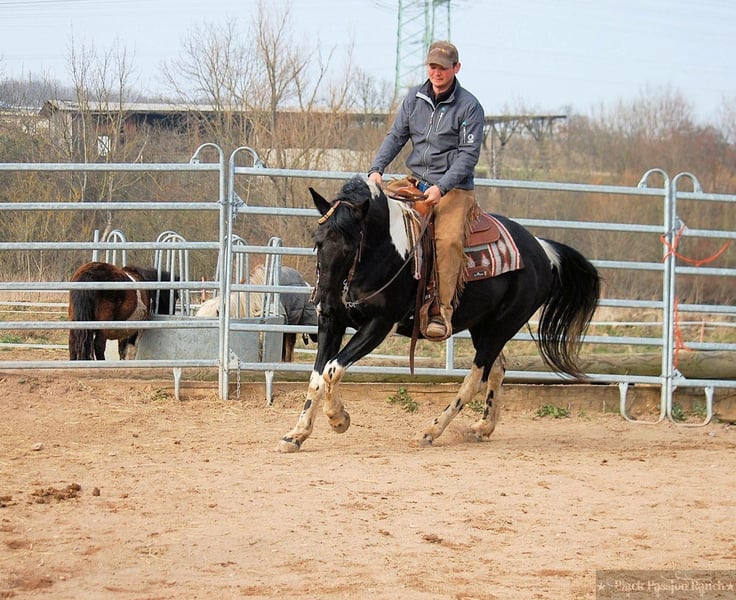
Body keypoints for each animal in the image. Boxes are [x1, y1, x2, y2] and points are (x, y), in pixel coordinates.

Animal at [278, 176, 600, 452]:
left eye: (349, 246)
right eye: (318, 240)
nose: (322, 300)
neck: (383, 253)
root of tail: (543, 250)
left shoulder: (380, 324)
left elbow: (333, 369)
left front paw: (339, 419)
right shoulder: (332, 323)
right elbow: (318, 377)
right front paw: (296, 434)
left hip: (502, 326)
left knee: (476, 377)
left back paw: (431, 430)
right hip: (484, 326)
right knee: (498, 369)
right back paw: (483, 427)